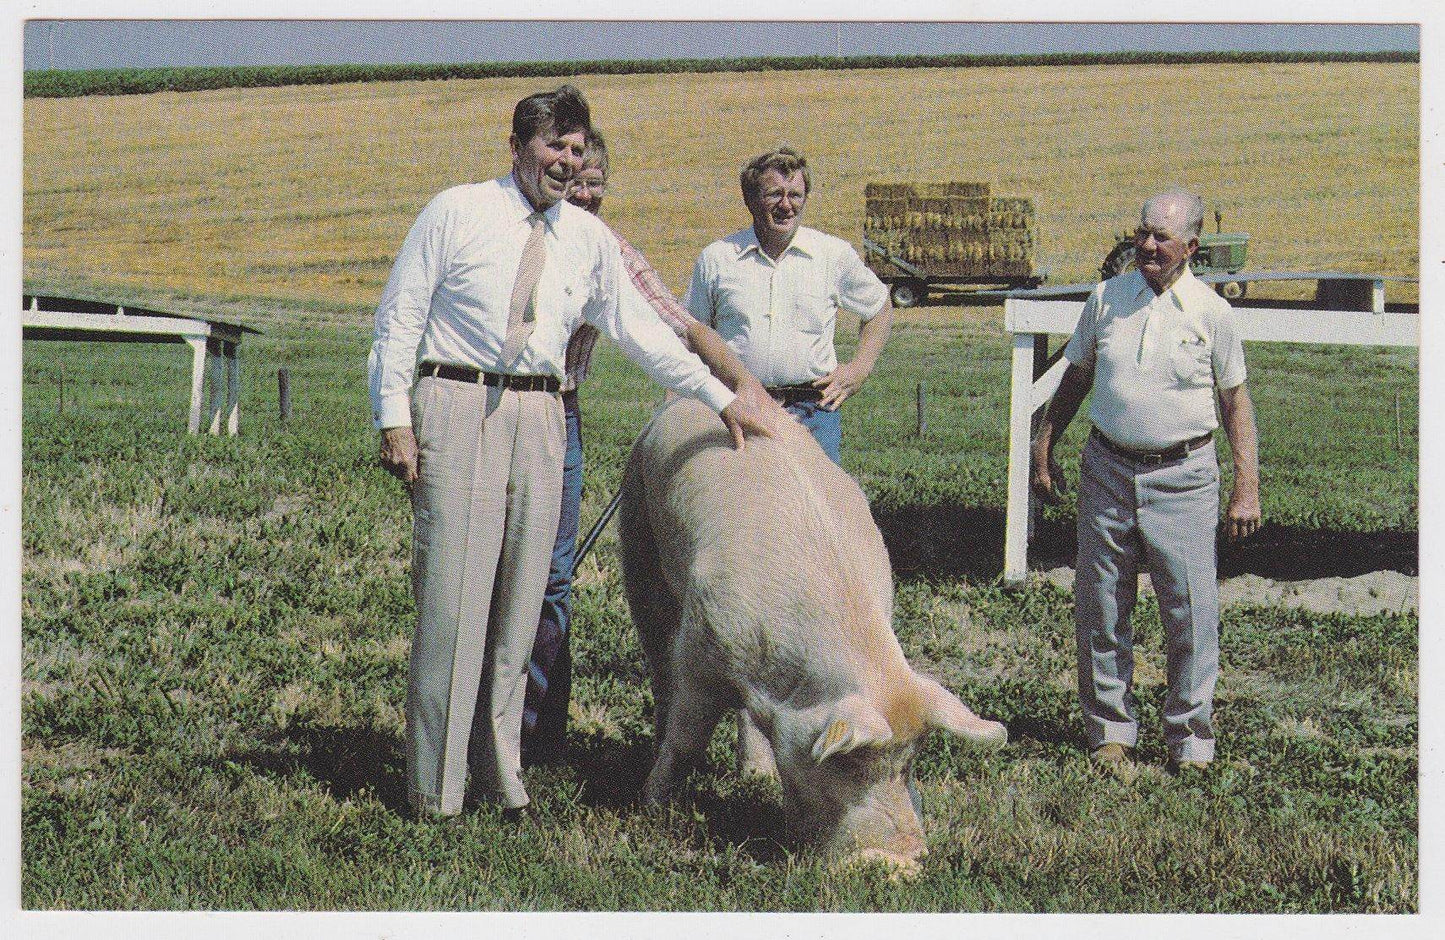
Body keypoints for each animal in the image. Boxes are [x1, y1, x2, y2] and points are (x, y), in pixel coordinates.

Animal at [618, 396, 1007, 868]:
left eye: (909, 761)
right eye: (850, 763)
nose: (911, 854)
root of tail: (680, 402)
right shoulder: (701, 649)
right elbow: (686, 741)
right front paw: (650, 808)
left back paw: (757, 776)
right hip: (636, 528)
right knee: (658, 662)